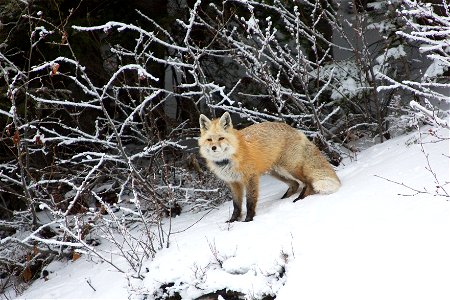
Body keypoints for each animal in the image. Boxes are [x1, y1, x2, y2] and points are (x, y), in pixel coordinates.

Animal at [199, 111, 340, 221]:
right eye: (209, 140)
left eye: (221, 138)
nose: (213, 148)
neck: (229, 159)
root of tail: (295, 130)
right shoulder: (233, 182)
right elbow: (236, 205)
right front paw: (233, 221)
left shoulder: (250, 177)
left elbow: (250, 201)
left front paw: (248, 220)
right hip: (276, 172)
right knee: (295, 184)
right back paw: (283, 200)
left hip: (290, 168)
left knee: (308, 181)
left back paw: (300, 198)